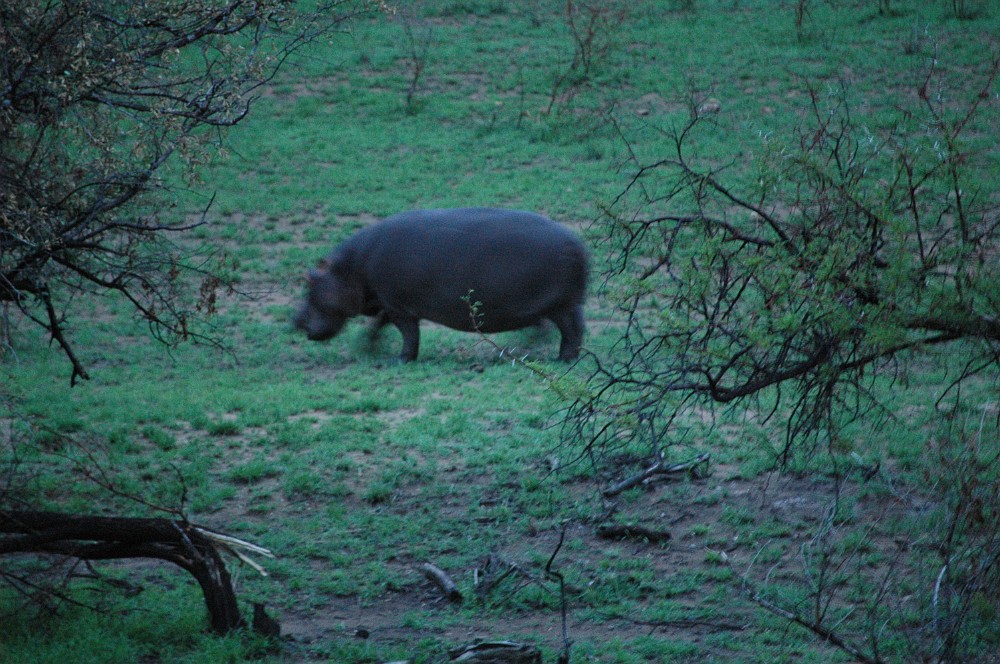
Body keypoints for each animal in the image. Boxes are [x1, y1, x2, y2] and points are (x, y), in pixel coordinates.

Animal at [294, 208, 588, 361]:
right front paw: (367, 348)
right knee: (566, 329)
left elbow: (408, 334)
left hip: (562, 304)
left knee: (572, 332)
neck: (350, 269)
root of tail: (578, 243)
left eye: (309, 280)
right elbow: (377, 325)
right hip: (563, 304)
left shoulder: (399, 307)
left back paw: (562, 359)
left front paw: (401, 360)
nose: (295, 322)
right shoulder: (386, 303)